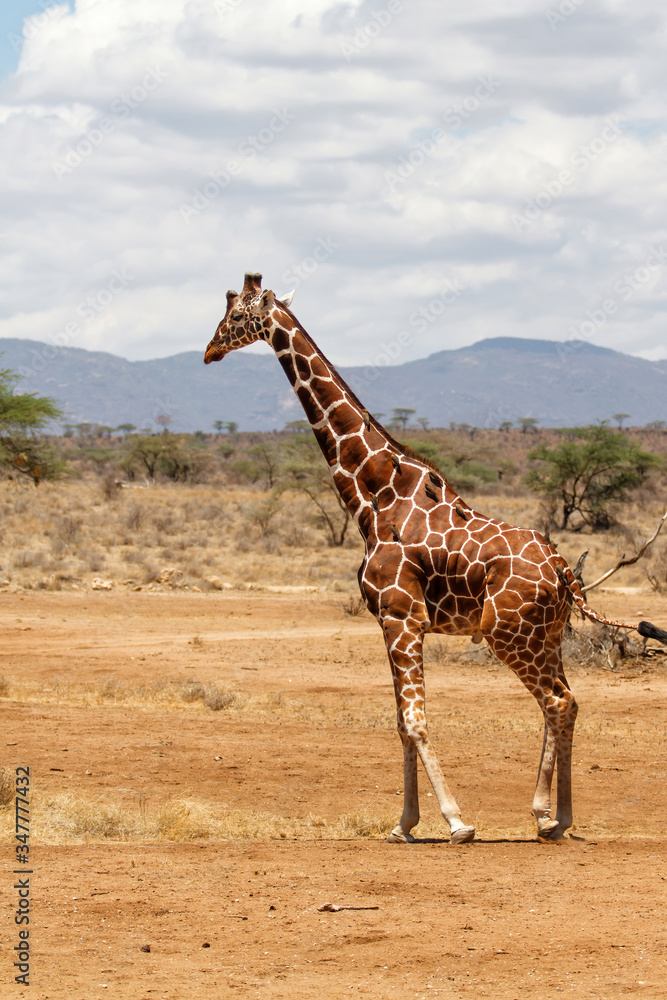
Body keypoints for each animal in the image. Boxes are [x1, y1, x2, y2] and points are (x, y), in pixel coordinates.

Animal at [204, 272, 667, 844]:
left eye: (235, 314)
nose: (209, 350)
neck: (371, 495)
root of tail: (563, 570)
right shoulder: (390, 621)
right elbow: (401, 722)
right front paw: (404, 823)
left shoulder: (402, 617)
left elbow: (416, 720)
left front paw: (456, 821)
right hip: (548, 636)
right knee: (568, 700)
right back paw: (556, 817)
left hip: (509, 636)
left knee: (557, 701)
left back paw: (545, 813)